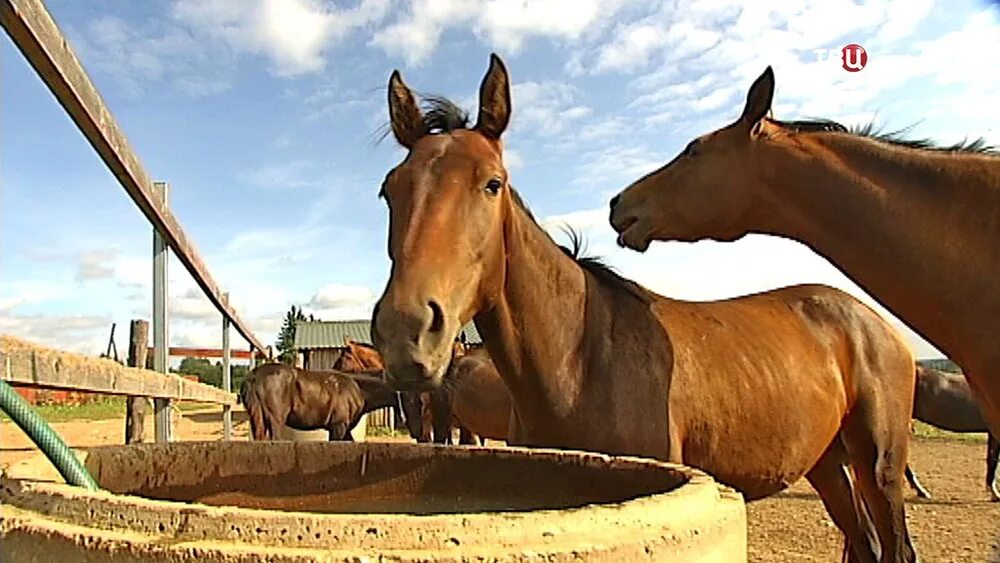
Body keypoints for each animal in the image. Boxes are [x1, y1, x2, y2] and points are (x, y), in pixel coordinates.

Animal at [372, 54, 916, 563]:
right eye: (388, 189)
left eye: (492, 184)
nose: (406, 333)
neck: (579, 361)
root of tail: (874, 323)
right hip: (827, 464)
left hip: (878, 467)